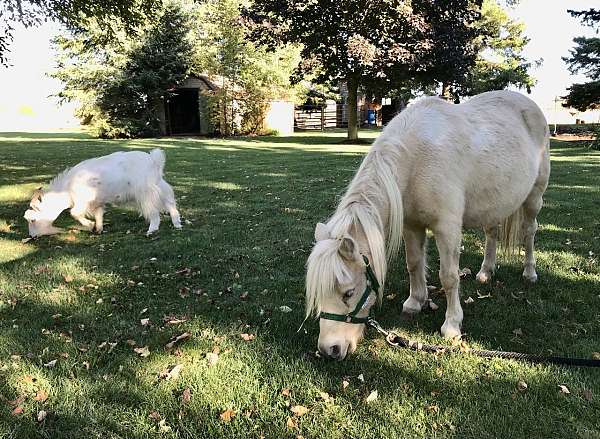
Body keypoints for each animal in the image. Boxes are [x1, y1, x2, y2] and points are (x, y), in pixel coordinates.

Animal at [23, 149, 182, 239]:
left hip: (145, 192)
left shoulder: (83, 201)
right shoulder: (96, 202)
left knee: (153, 211)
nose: (32, 236)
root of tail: (154, 160)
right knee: (169, 201)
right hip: (160, 185)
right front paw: (98, 228)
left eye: (33, 220)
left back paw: (152, 230)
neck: (66, 189)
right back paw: (177, 224)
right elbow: (98, 214)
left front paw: (90, 225)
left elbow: (74, 213)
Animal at [308, 90, 552, 360]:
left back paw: (529, 273)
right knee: (492, 233)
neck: (416, 159)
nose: (329, 350)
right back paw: (485, 273)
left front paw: (452, 325)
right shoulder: (411, 226)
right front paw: (415, 302)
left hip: (534, 198)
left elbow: (449, 276)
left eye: (348, 293)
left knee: (529, 232)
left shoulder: (447, 228)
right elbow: (414, 264)